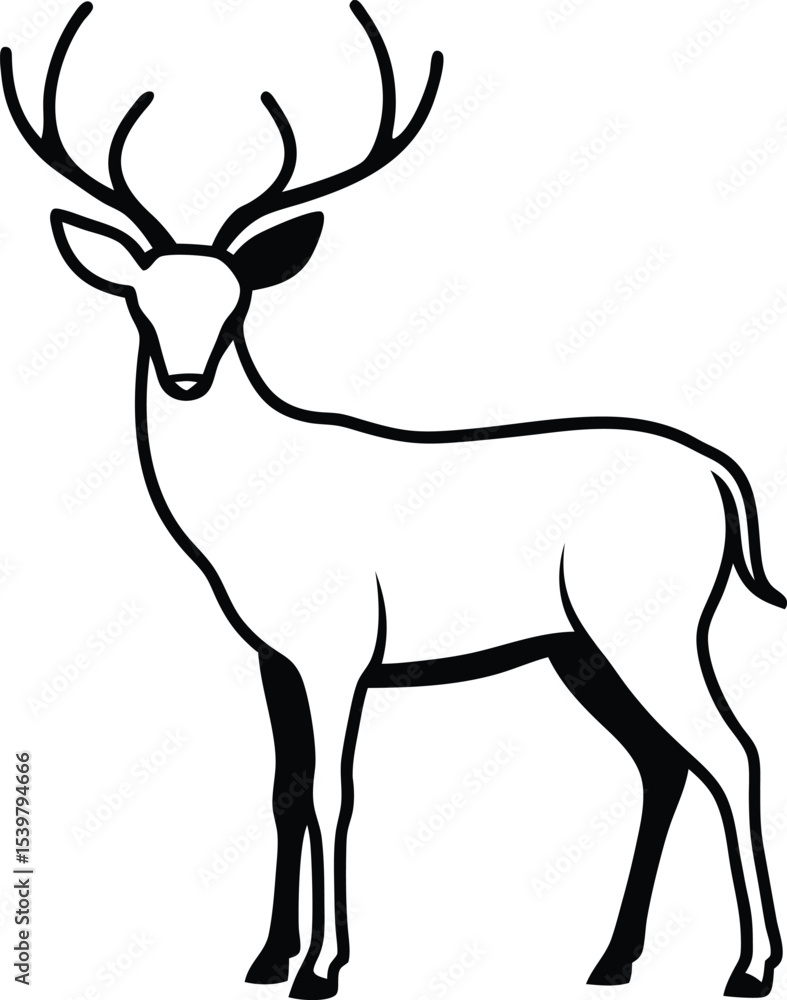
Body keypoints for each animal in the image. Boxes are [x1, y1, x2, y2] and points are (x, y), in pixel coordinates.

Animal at [2, 3, 783, 997]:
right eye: (142, 301)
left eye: (233, 303)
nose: (184, 377)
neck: (243, 507)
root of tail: (721, 474)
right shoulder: (275, 653)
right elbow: (284, 792)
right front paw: (265, 958)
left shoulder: (342, 647)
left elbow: (337, 793)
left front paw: (324, 967)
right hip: (580, 646)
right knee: (663, 764)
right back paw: (611, 959)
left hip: (655, 621)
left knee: (732, 751)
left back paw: (747, 967)